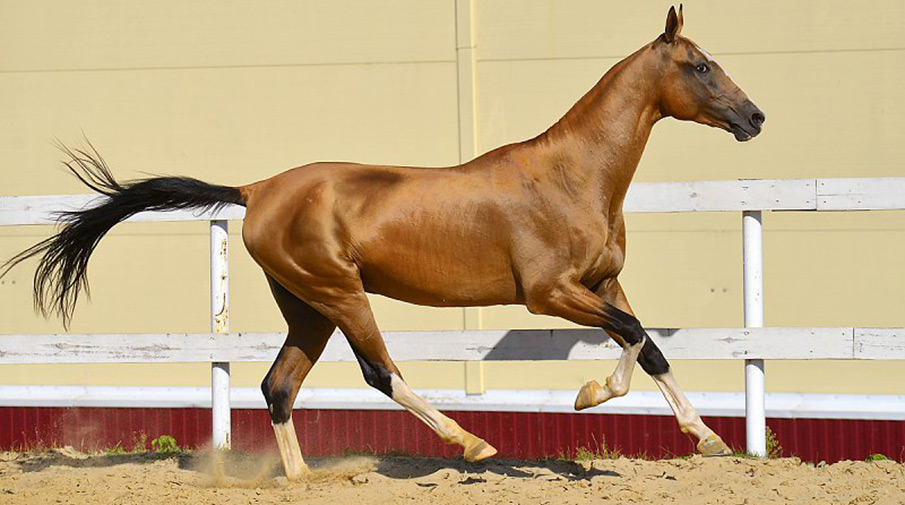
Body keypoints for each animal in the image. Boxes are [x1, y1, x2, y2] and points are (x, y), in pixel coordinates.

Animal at [3, 5, 760, 478]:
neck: (573, 175)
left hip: (306, 306)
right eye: (699, 66)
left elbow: (650, 344)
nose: (754, 117)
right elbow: (632, 337)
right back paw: (471, 443)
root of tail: (255, 188)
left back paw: (306, 477)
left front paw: (710, 439)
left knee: (277, 384)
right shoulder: (549, 294)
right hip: (340, 294)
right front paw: (589, 393)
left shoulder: (601, 283)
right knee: (378, 370)